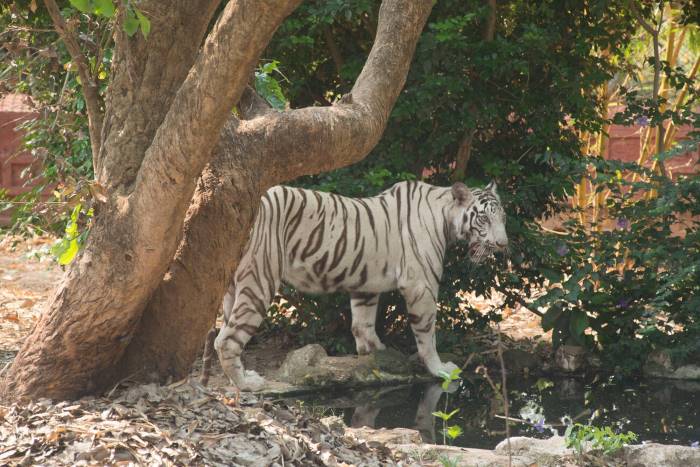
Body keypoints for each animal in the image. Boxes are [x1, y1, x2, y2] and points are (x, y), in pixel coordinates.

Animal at [208, 181, 508, 390]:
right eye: (484, 218)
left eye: (503, 217)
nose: (503, 244)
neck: (444, 217)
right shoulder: (421, 286)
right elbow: (427, 335)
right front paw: (440, 369)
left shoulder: (366, 284)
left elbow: (362, 324)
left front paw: (376, 355)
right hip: (260, 279)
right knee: (227, 339)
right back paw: (247, 383)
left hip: (233, 287)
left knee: (223, 332)